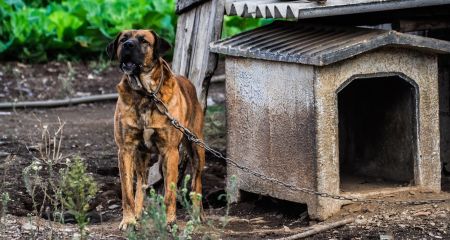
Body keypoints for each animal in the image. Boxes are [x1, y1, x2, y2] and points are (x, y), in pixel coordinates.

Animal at [106, 30, 205, 231]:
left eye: (144, 41)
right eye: (123, 39)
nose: (128, 45)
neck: (145, 94)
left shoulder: (170, 151)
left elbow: (170, 193)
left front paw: (171, 222)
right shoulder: (125, 150)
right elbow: (127, 191)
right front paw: (128, 220)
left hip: (196, 148)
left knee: (197, 183)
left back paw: (197, 216)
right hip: (141, 156)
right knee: (141, 184)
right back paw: (138, 214)